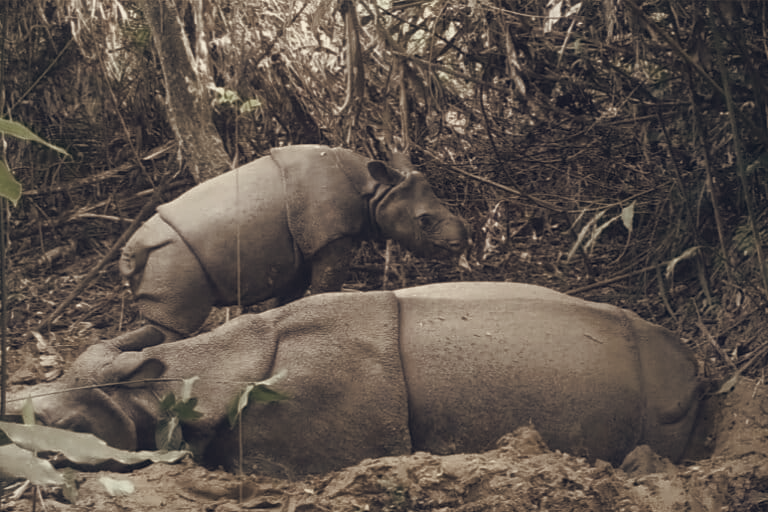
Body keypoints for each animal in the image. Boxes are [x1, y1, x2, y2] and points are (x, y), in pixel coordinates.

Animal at [119, 145, 470, 340]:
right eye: (424, 221)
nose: (461, 244)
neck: (374, 191)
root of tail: (129, 253)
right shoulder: (331, 238)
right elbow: (324, 288)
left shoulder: (299, 252)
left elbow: (287, 301)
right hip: (170, 260)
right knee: (173, 329)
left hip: (163, 261)